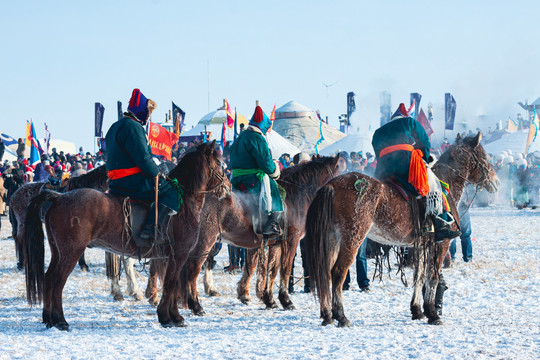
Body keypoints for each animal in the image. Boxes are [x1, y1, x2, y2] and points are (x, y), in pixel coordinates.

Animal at [20, 140, 228, 330]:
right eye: (219, 162)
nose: (227, 187)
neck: (184, 203)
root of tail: (59, 197)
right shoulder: (179, 255)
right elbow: (171, 283)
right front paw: (171, 317)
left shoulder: (170, 257)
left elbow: (171, 284)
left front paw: (170, 315)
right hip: (71, 252)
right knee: (56, 281)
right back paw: (60, 320)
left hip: (58, 252)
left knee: (48, 279)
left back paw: (49, 318)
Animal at [304, 134, 498, 328]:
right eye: (484, 156)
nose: (496, 182)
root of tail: (331, 185)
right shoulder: (440, 245)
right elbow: (432, 277)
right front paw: (433, 313)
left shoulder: (422, 245)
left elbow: (419, 276)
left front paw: (417, 310)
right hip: (352, 239)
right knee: (338, 272)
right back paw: (341, 316)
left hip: (331, 240)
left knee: (325, 273)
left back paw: (327, 315)